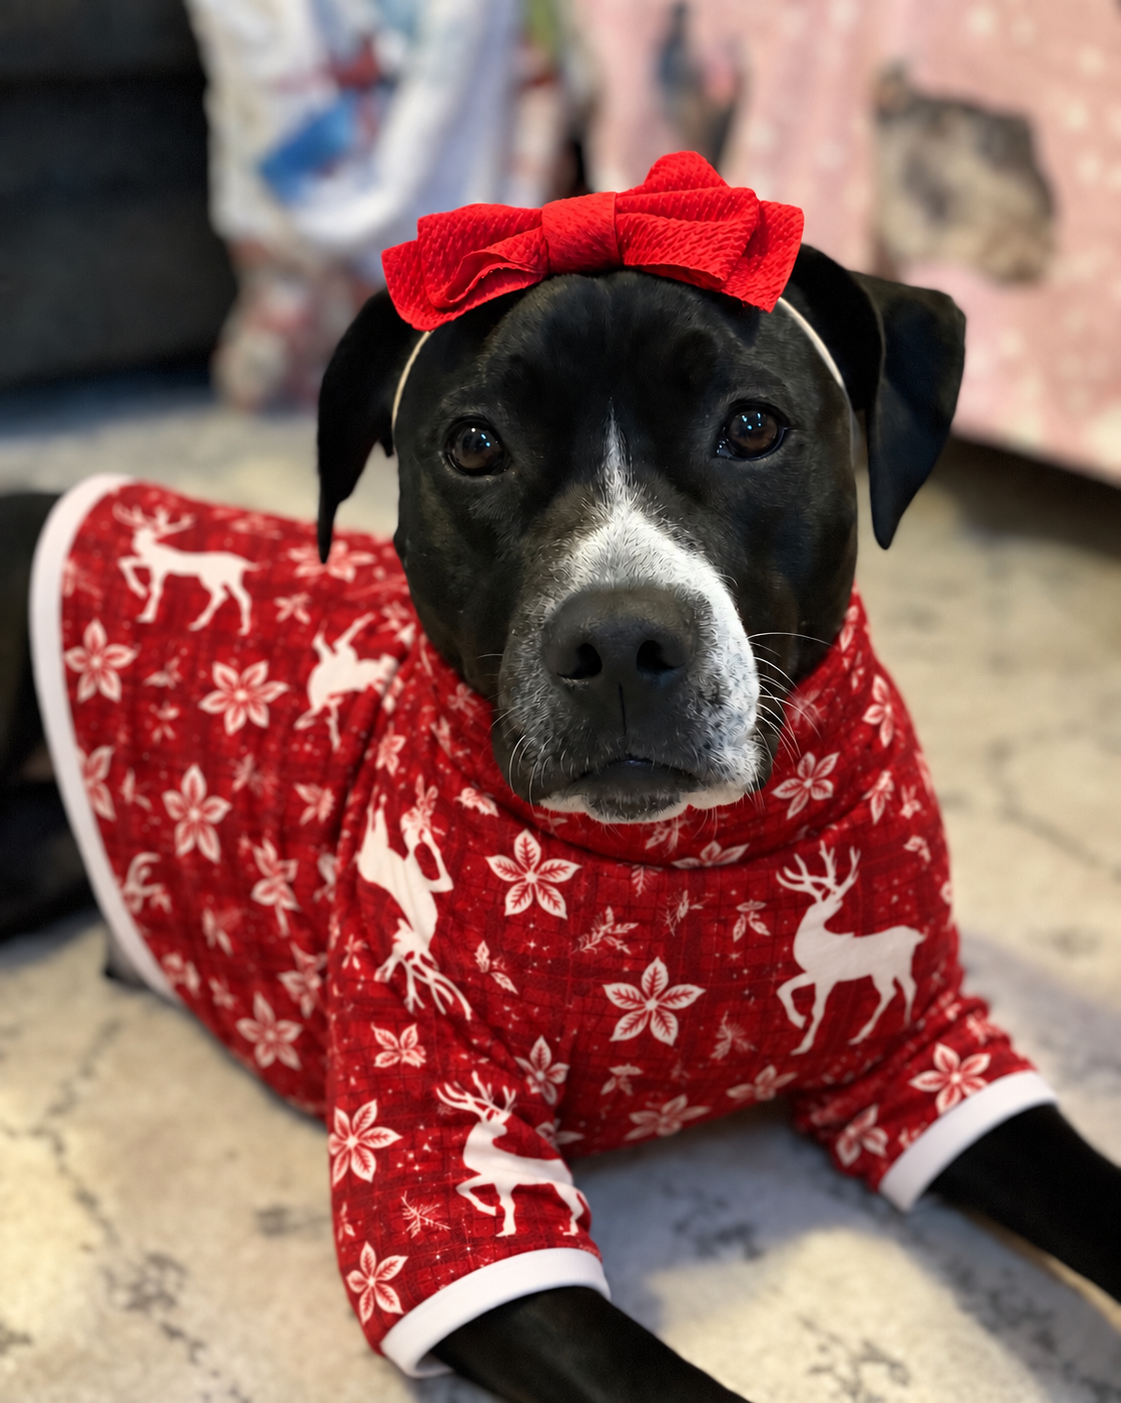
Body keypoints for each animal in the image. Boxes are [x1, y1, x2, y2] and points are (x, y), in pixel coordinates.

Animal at [114, 503, 257, 635]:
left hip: (210, 577)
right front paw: (141, 591)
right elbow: (124, 562)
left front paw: (146, 616)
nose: (159, 532)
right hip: (231, 579)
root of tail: (242, 563)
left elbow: (156, 588)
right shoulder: (148, 562)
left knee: (221, 594)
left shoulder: (160, 567)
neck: (150, 550)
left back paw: (198, 623)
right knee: (243, 597)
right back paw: (243, 629)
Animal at [436, 1074, 589, 1237]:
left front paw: (506, 1230)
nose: (505, 1130)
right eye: (495, 1123)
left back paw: (570, 1231)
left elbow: (509, 1204)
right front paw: (491, 1210)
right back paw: (570, 1230)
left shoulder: (505, 1181)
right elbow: (462, 1187)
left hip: (562, 1189)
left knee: (577, 1207)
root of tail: (567, 1172)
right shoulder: (490, 1177)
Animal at [775, 843, 924, 1055]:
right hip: (885, 970)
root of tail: (915, 935)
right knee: (897, 990)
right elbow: (783, 988)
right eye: (816, 907)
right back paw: (872, 1032)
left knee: (901, 989)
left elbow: (817, 1010)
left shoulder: (827, 977)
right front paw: (798, 1020)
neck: (816, 943)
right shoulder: (814, 974)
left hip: (896, 965)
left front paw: (804, 1046)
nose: (837, 904)